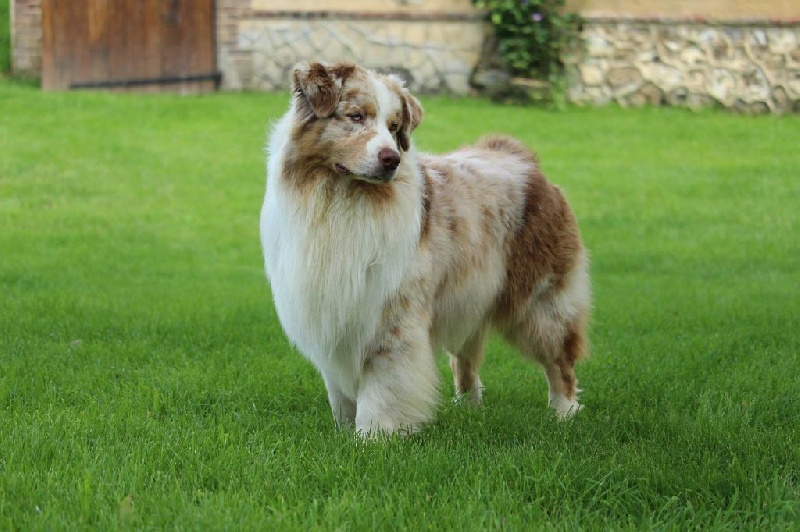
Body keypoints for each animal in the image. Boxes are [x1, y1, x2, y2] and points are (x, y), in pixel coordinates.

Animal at [260, 62, 592, 436]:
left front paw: (372, 436)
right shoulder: (329, 314)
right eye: (356, 116)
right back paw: (468, 409)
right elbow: (339, 392)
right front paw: (344, 432)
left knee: (559, 361)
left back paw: (564, 413)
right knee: (466, 361)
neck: (342, 201)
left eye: (394, 127)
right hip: (468, 297)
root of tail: (520, 158)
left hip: (542, 303)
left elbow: (382, 387)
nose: (391, 159)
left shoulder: (390, 316)